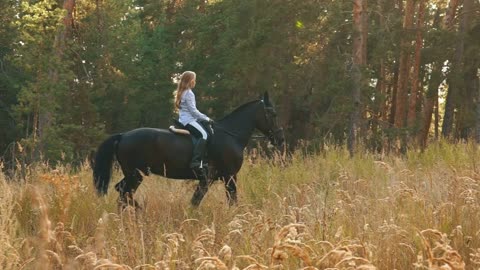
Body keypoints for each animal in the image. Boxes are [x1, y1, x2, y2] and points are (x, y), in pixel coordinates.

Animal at [92, 92, 284, 208]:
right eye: (273, 114)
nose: (280, 139)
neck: (231, 135)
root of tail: (123, 135)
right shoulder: (228, 177)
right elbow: (228, 201)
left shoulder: (212, 179)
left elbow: (196, 202)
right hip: (135, 174)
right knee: (124, 193)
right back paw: (140, 213)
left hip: (133, 174)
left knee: (122, 193)